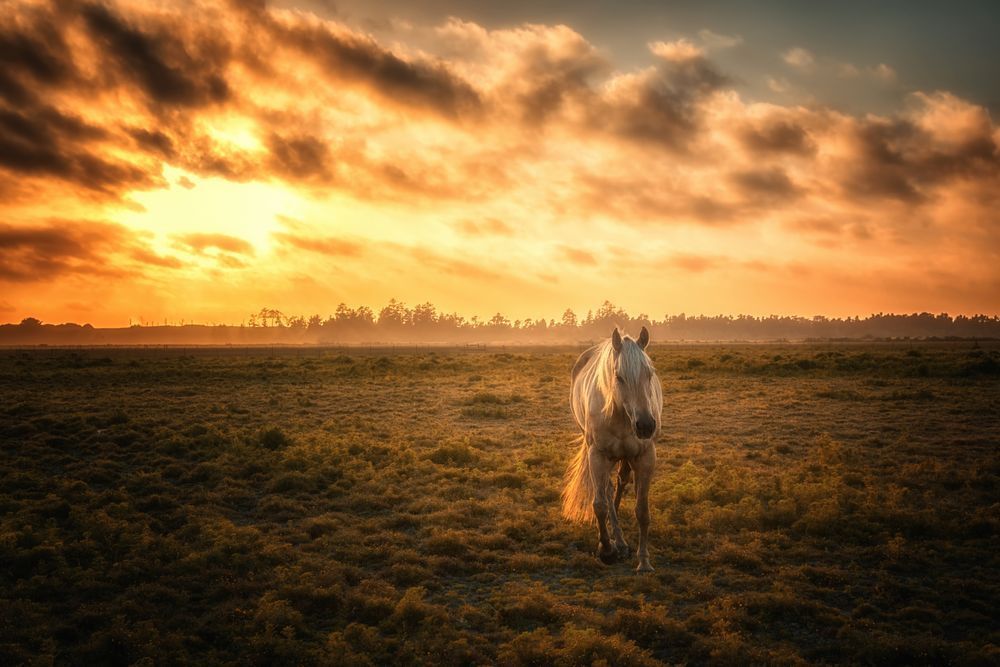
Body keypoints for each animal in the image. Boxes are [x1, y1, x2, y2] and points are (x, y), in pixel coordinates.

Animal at [561, 326, 663, 572]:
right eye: (619, 377)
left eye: (650, 374)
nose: (646, 425)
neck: (621, 416)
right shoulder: (597, 456)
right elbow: (599, 505)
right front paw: (606, 551)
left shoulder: (645, 457)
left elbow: (642, 511)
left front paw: (644, 561)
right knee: (607, 492)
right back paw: (617, 542)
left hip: (626, 457)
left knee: (621, 483)